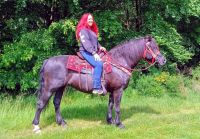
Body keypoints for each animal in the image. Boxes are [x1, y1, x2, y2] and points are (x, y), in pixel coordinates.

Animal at [31, 35, 166, 133]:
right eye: (153, 47)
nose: (163, 60)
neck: (120, 61)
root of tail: (47, 61)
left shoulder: (112, 90)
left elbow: (110, 105)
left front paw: (110, 121)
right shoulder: (118, 90)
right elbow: (117, 107)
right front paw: (119, 124)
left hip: (60, 88)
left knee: (56, 103)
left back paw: (62, 123)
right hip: (49, 88)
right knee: (40, 104)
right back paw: (36, 127)